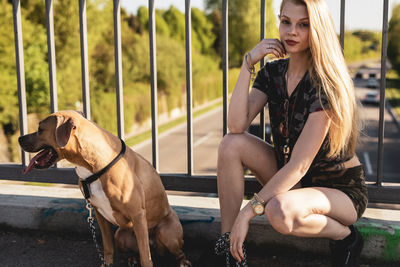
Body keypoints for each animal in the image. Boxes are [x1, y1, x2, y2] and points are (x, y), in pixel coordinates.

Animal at [18, 111, 192, 267]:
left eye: (40, 129)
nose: (19, 138)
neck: (92, 166)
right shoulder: (99, 213)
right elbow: (108, 248)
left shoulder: (137, 214)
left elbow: (146, 258)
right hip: (120, 236)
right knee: (139, 249)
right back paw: (133, 258)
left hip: (166, 232)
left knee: (173, 251)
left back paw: (183, 262)